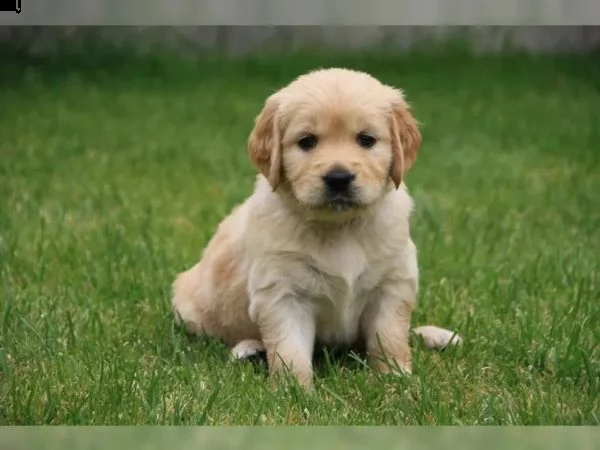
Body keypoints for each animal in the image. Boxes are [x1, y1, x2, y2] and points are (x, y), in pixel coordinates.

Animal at [171, 68, 462, 388]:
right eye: (306, 141)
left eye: (366, 139)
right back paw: (249, 348)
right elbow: (290, 349)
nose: (338, 178)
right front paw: (293, 390)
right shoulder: (283, 292)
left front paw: (395, 379)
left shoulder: (392, 283)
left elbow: (390, 337)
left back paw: (437, 336)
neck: (340, 227)